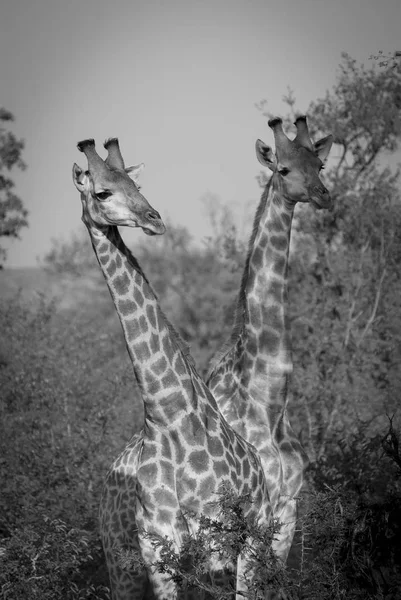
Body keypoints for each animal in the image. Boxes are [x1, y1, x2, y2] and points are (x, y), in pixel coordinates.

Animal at [72, 137, 272, 600]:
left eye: (137, 184)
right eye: (102, 192)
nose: (155, 219)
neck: (166, 418)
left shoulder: (216, 545)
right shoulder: (156, 553)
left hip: (254, 541)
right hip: (120, 558)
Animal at [205, 116, 332, 564]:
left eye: (320, 165)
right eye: (284, 169)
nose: (323, 195)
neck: (270, 399)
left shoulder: (288, 507)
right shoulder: (251, 511)